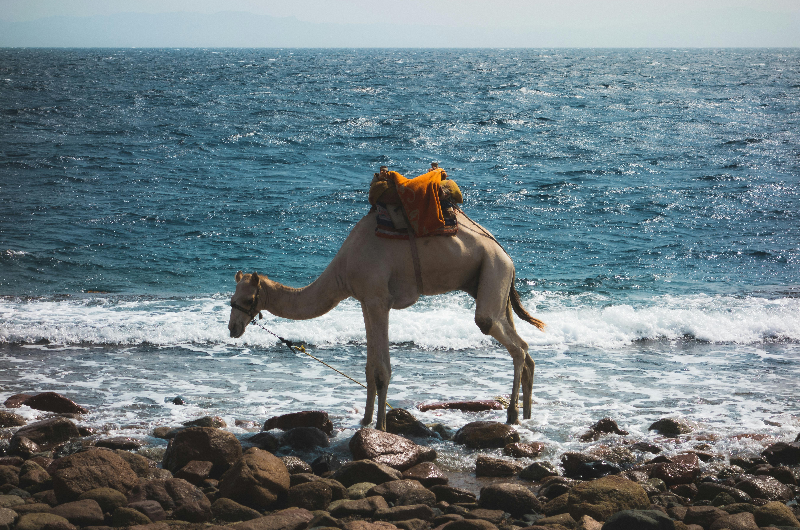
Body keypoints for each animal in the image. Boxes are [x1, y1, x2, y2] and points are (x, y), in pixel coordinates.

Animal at [228, 208, 545, 431]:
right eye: (232, 298)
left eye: (248, 300)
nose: (233, 327)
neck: (342, 269)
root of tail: (507, 255)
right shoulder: (365, 302)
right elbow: (370, 368)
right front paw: (365, 421)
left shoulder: (378, 299)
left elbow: (382, 370)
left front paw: (380, 426)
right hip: (489, 280)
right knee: (521, 343)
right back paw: (528, 413)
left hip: (493, 269)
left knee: (500, 333)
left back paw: (512, 415)